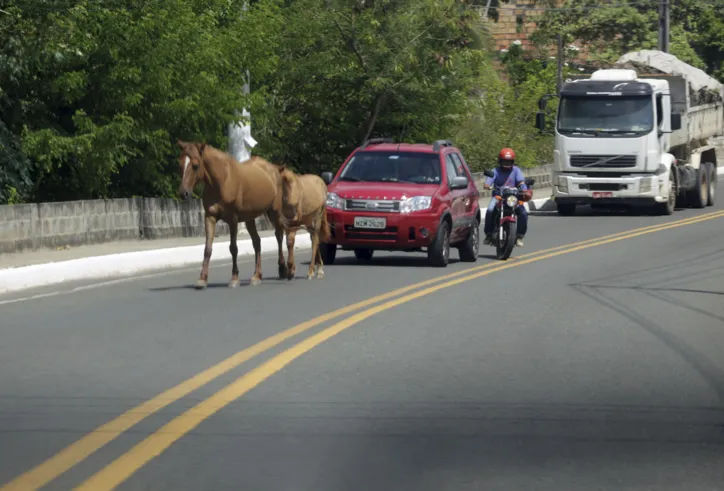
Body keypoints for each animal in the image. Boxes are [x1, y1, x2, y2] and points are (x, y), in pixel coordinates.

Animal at [176, 140, 288, 290]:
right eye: (180, 164)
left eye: (195, 165)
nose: (183, 193)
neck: (222, 181)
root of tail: (275, 169)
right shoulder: (210, 217)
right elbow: (207, 248)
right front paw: (202, 279)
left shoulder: (233, 219)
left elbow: (233, 248)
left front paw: (234, 278)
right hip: (249, 218)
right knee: (257, 242)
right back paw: (256, 276)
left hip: (274, 212)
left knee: (279, 236)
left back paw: (282, 269)